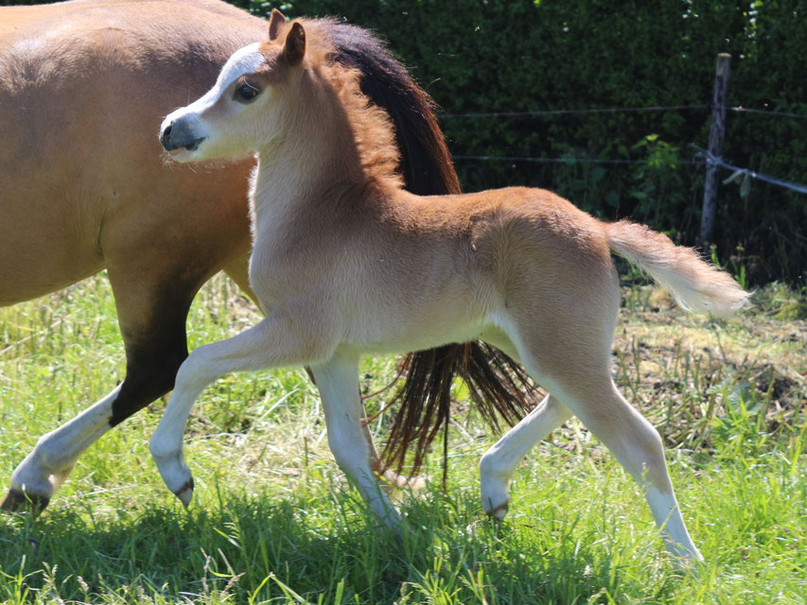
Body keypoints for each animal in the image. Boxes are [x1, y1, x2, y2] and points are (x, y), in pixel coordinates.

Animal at [156, 14, 752, 560]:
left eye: (247, 90)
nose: (170, 129)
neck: (323, 215)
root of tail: (599, 229)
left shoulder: (297, 333)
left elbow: (195, 364)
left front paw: (176, 473)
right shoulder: (335, 353)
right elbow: (350, 447)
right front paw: (397, 535)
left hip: (554, 344)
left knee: (637, 439)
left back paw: (687, 563)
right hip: (533, 342)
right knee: (564, 400)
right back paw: (493, 489)